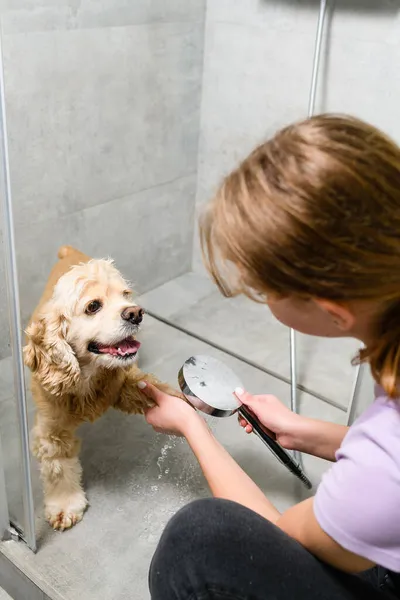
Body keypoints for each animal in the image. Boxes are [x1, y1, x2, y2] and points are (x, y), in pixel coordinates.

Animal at [24, 244, 180, 528]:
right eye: (93, 306)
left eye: (126, 295)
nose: (136, 313)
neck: (88, 372)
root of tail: (69, 251)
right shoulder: (52, 429)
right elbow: (57, 467)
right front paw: (64, 505)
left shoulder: (124, 381)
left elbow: (151, 386)